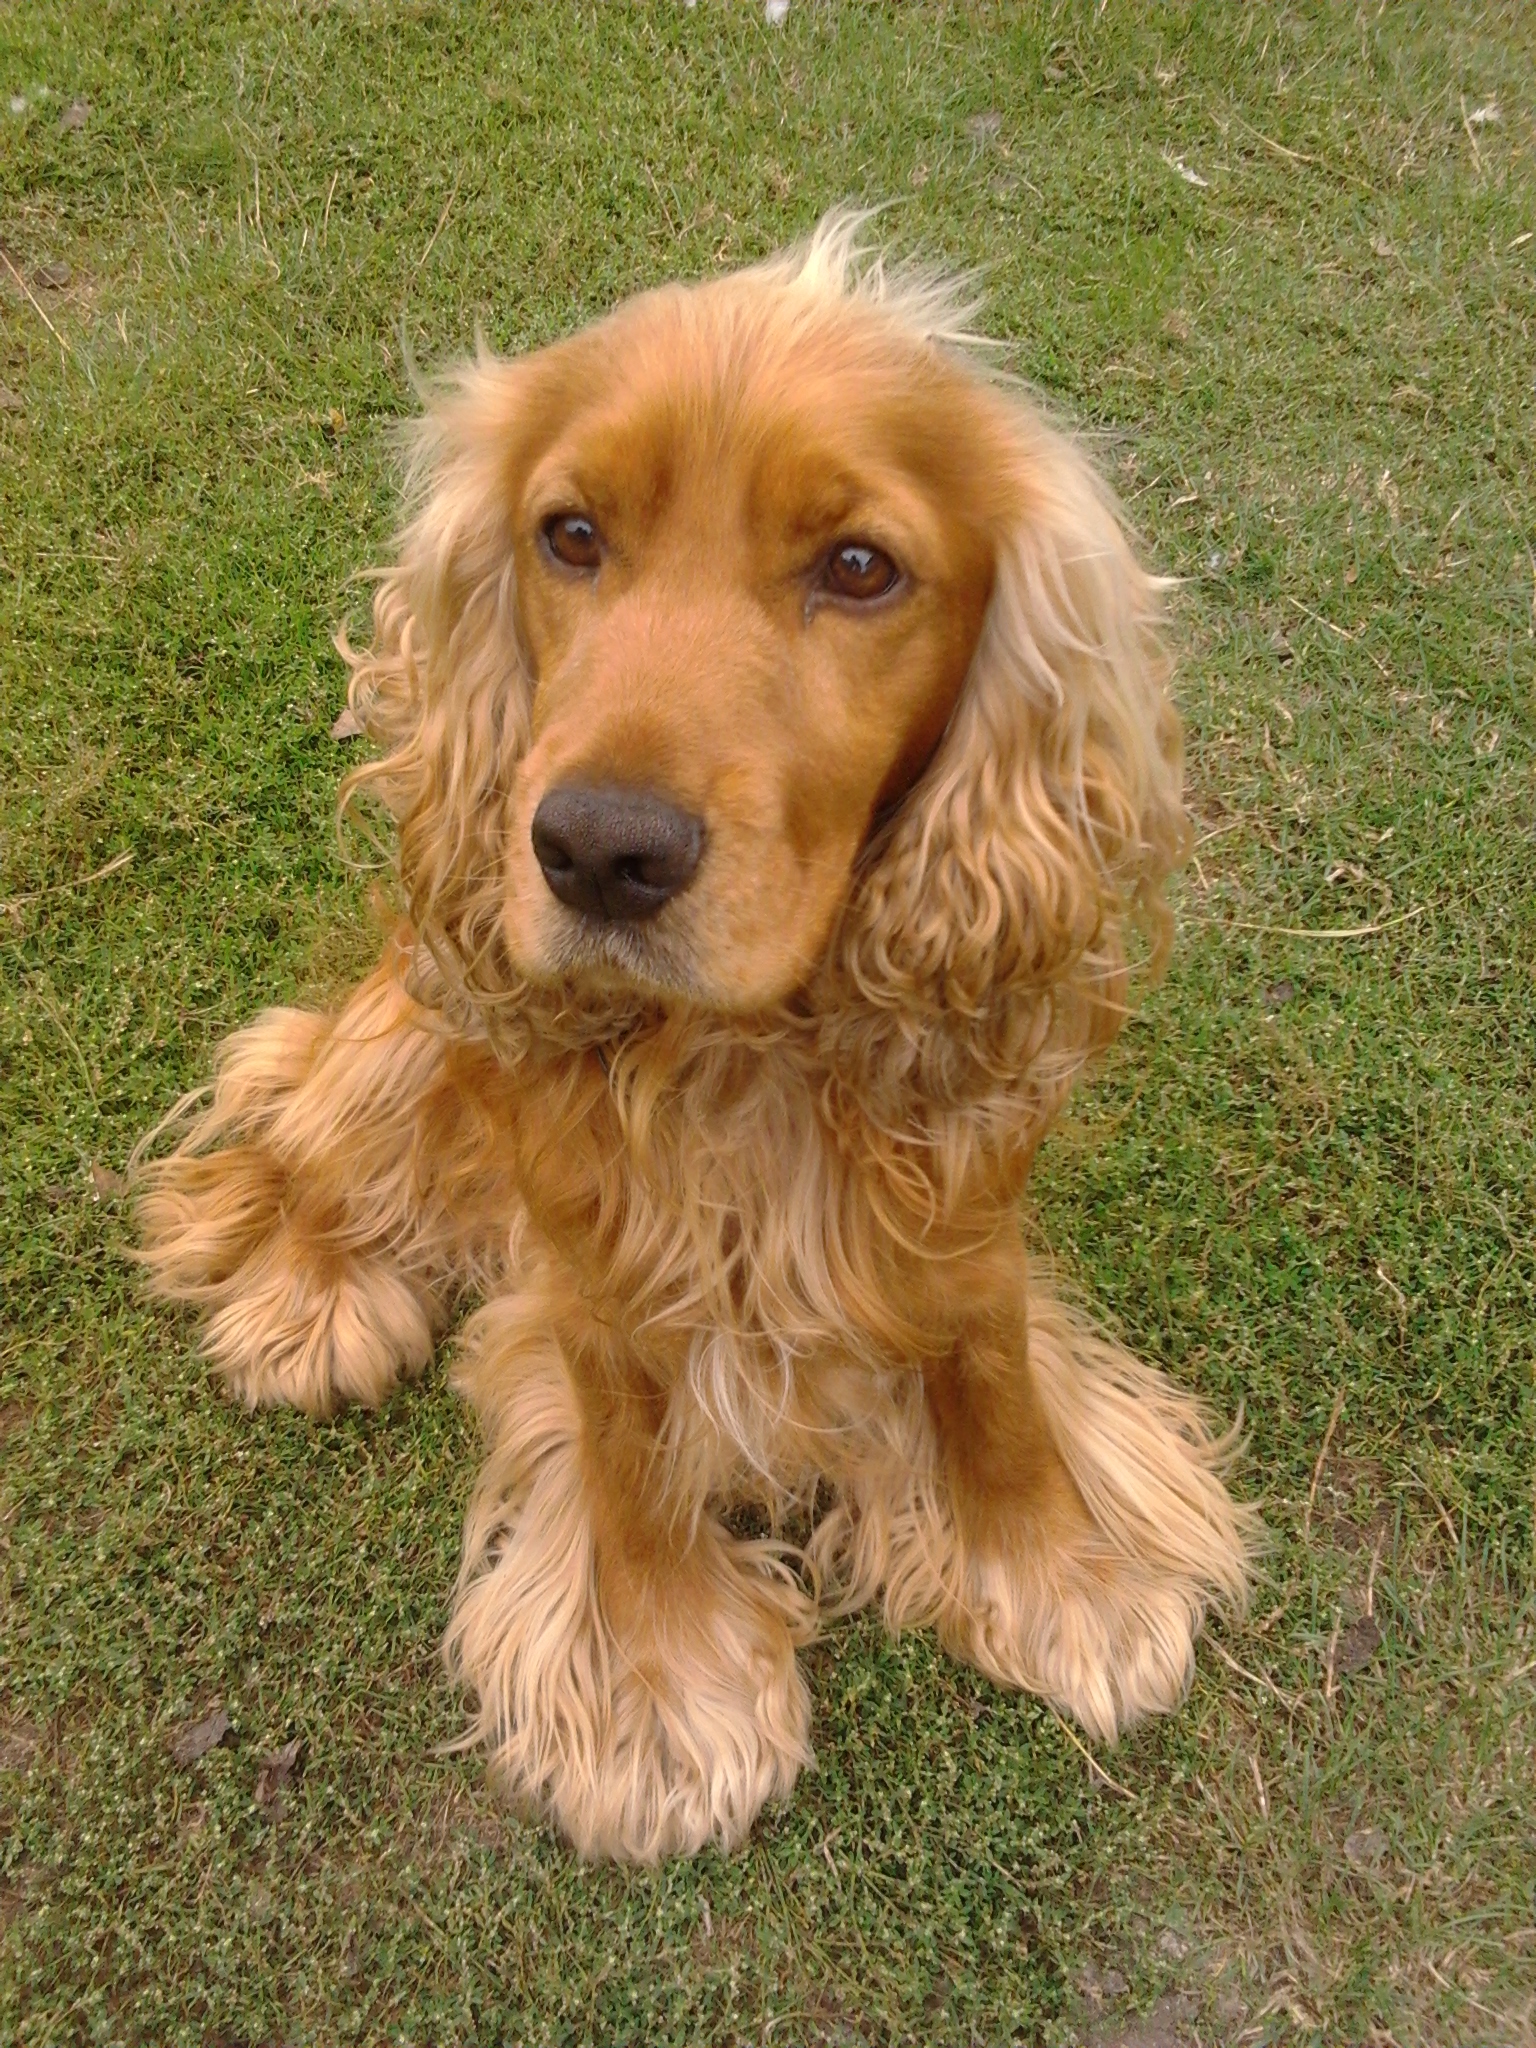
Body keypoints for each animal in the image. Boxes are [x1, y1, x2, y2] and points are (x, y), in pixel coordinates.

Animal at [138, 212, 1256, 1863]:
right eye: (570, 536)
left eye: (859, 568)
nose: (595, 851)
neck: (752, 1054)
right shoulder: (597, 1250)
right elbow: (628, 1444)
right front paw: (658, 1694)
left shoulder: (958, 1198)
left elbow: (991, 1370)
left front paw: (1062, 1574)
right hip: (411, 1026)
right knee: (300, 1123)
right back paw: (310, 1300)